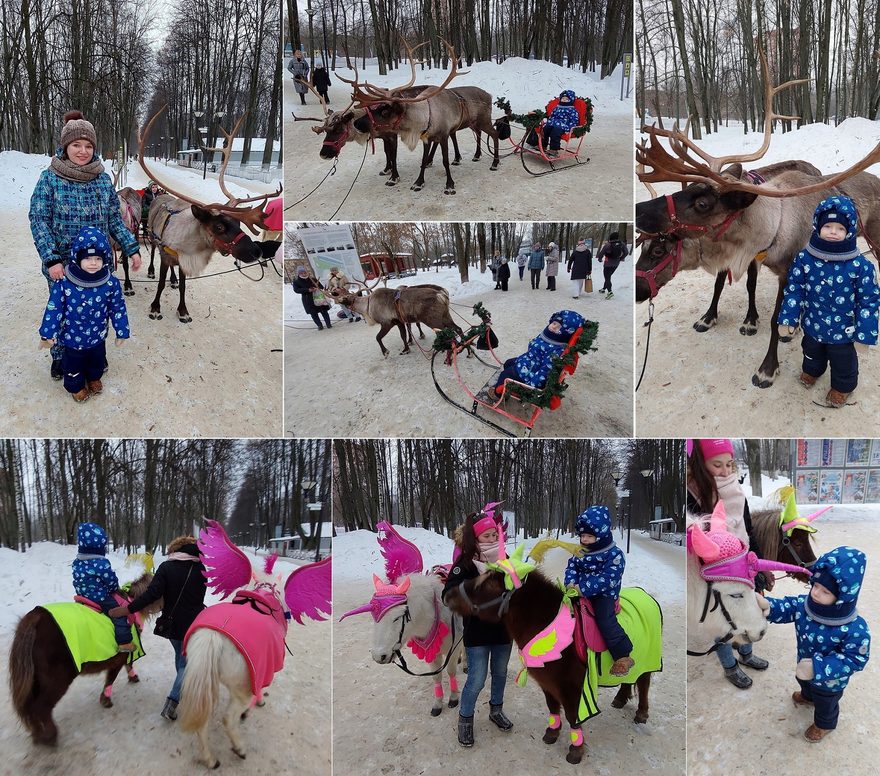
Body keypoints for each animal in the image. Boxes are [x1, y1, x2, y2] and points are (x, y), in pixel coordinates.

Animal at [8, 572, 159, 748]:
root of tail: (35, 619)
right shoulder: (119, 659)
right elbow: (112, 677)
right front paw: (106, 700)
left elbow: (128, 665)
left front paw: (132, 677)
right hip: (56, 680)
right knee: (40, 708)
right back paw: (51, 736)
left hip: (37, 679)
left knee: (30, 707)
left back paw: (38, 735)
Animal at [177, 520, 332, 768]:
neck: (264, 596)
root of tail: (214, 637)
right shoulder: (261, 671)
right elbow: (260, 689)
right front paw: (257, 705)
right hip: (240, 688)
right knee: (228, 719)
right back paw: (239, 747)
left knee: (203, 722)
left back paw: (209, 759)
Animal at [338, 520, 468, 716]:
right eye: (374, 616)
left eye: (398, 617)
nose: (379, 656)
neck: (435, 614)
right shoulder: (433, 652)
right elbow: (436, 676)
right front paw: (438, 703)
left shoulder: (454, 645)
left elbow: (451, 671)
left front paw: (453, 698)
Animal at [444, 544, 664, 768]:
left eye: (487, 585)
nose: (448, 595)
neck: (549, 625)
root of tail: (646, 596)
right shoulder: (547, 682)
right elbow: (552, 707)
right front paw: (552, 733)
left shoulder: (571, 688)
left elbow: (573, 716)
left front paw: (575, 751)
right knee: (629, 678)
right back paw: (620, 699)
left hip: (648, 661)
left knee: (643, 683)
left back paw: (641, 713)